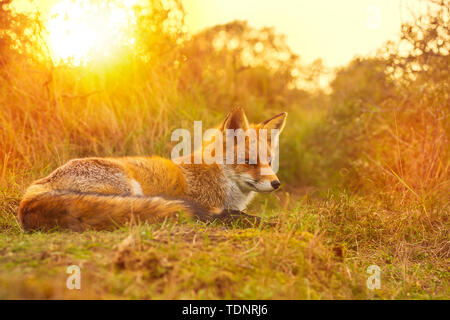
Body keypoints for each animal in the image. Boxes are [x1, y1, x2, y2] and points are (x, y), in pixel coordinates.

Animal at [17, 109, 286, 231]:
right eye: (249, 162)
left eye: (269, 161)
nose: (276, 183)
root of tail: (32, 192)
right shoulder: (208, 204)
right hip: (129, 187)